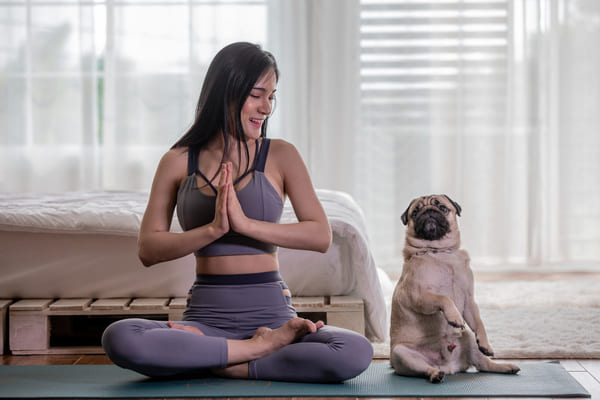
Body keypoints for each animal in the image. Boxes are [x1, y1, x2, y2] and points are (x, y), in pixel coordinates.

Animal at [392, 195, 516, 382]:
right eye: (415, 212)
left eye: (442, 208)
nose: (428, 211)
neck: (441, 252)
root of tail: (449, 367)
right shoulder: (419, 296)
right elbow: (444, 298)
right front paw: (455, 317)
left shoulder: (469, 301)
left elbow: (479, 322)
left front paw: (485, 343)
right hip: (401, 354)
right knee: (424, 369)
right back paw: (435, 374)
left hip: (469, 338)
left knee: (484, 365)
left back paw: (506, 366)